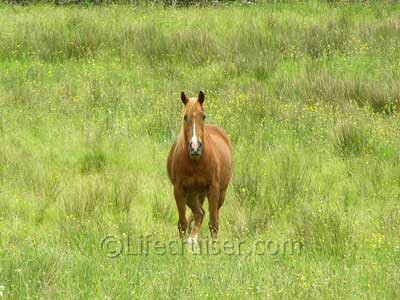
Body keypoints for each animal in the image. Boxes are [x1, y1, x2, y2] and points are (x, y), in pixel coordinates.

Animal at [166, 90, 233, 245]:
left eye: (203, 116)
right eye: (185, 117)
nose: (195, 147)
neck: (195, 161)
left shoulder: (213, 189)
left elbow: (213, 224)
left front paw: (214, 246)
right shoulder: (179, 189)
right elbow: (183, 223)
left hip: (220, 194)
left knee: (208, 215)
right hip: (194, 194)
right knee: (199, 213)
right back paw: (192, 239)